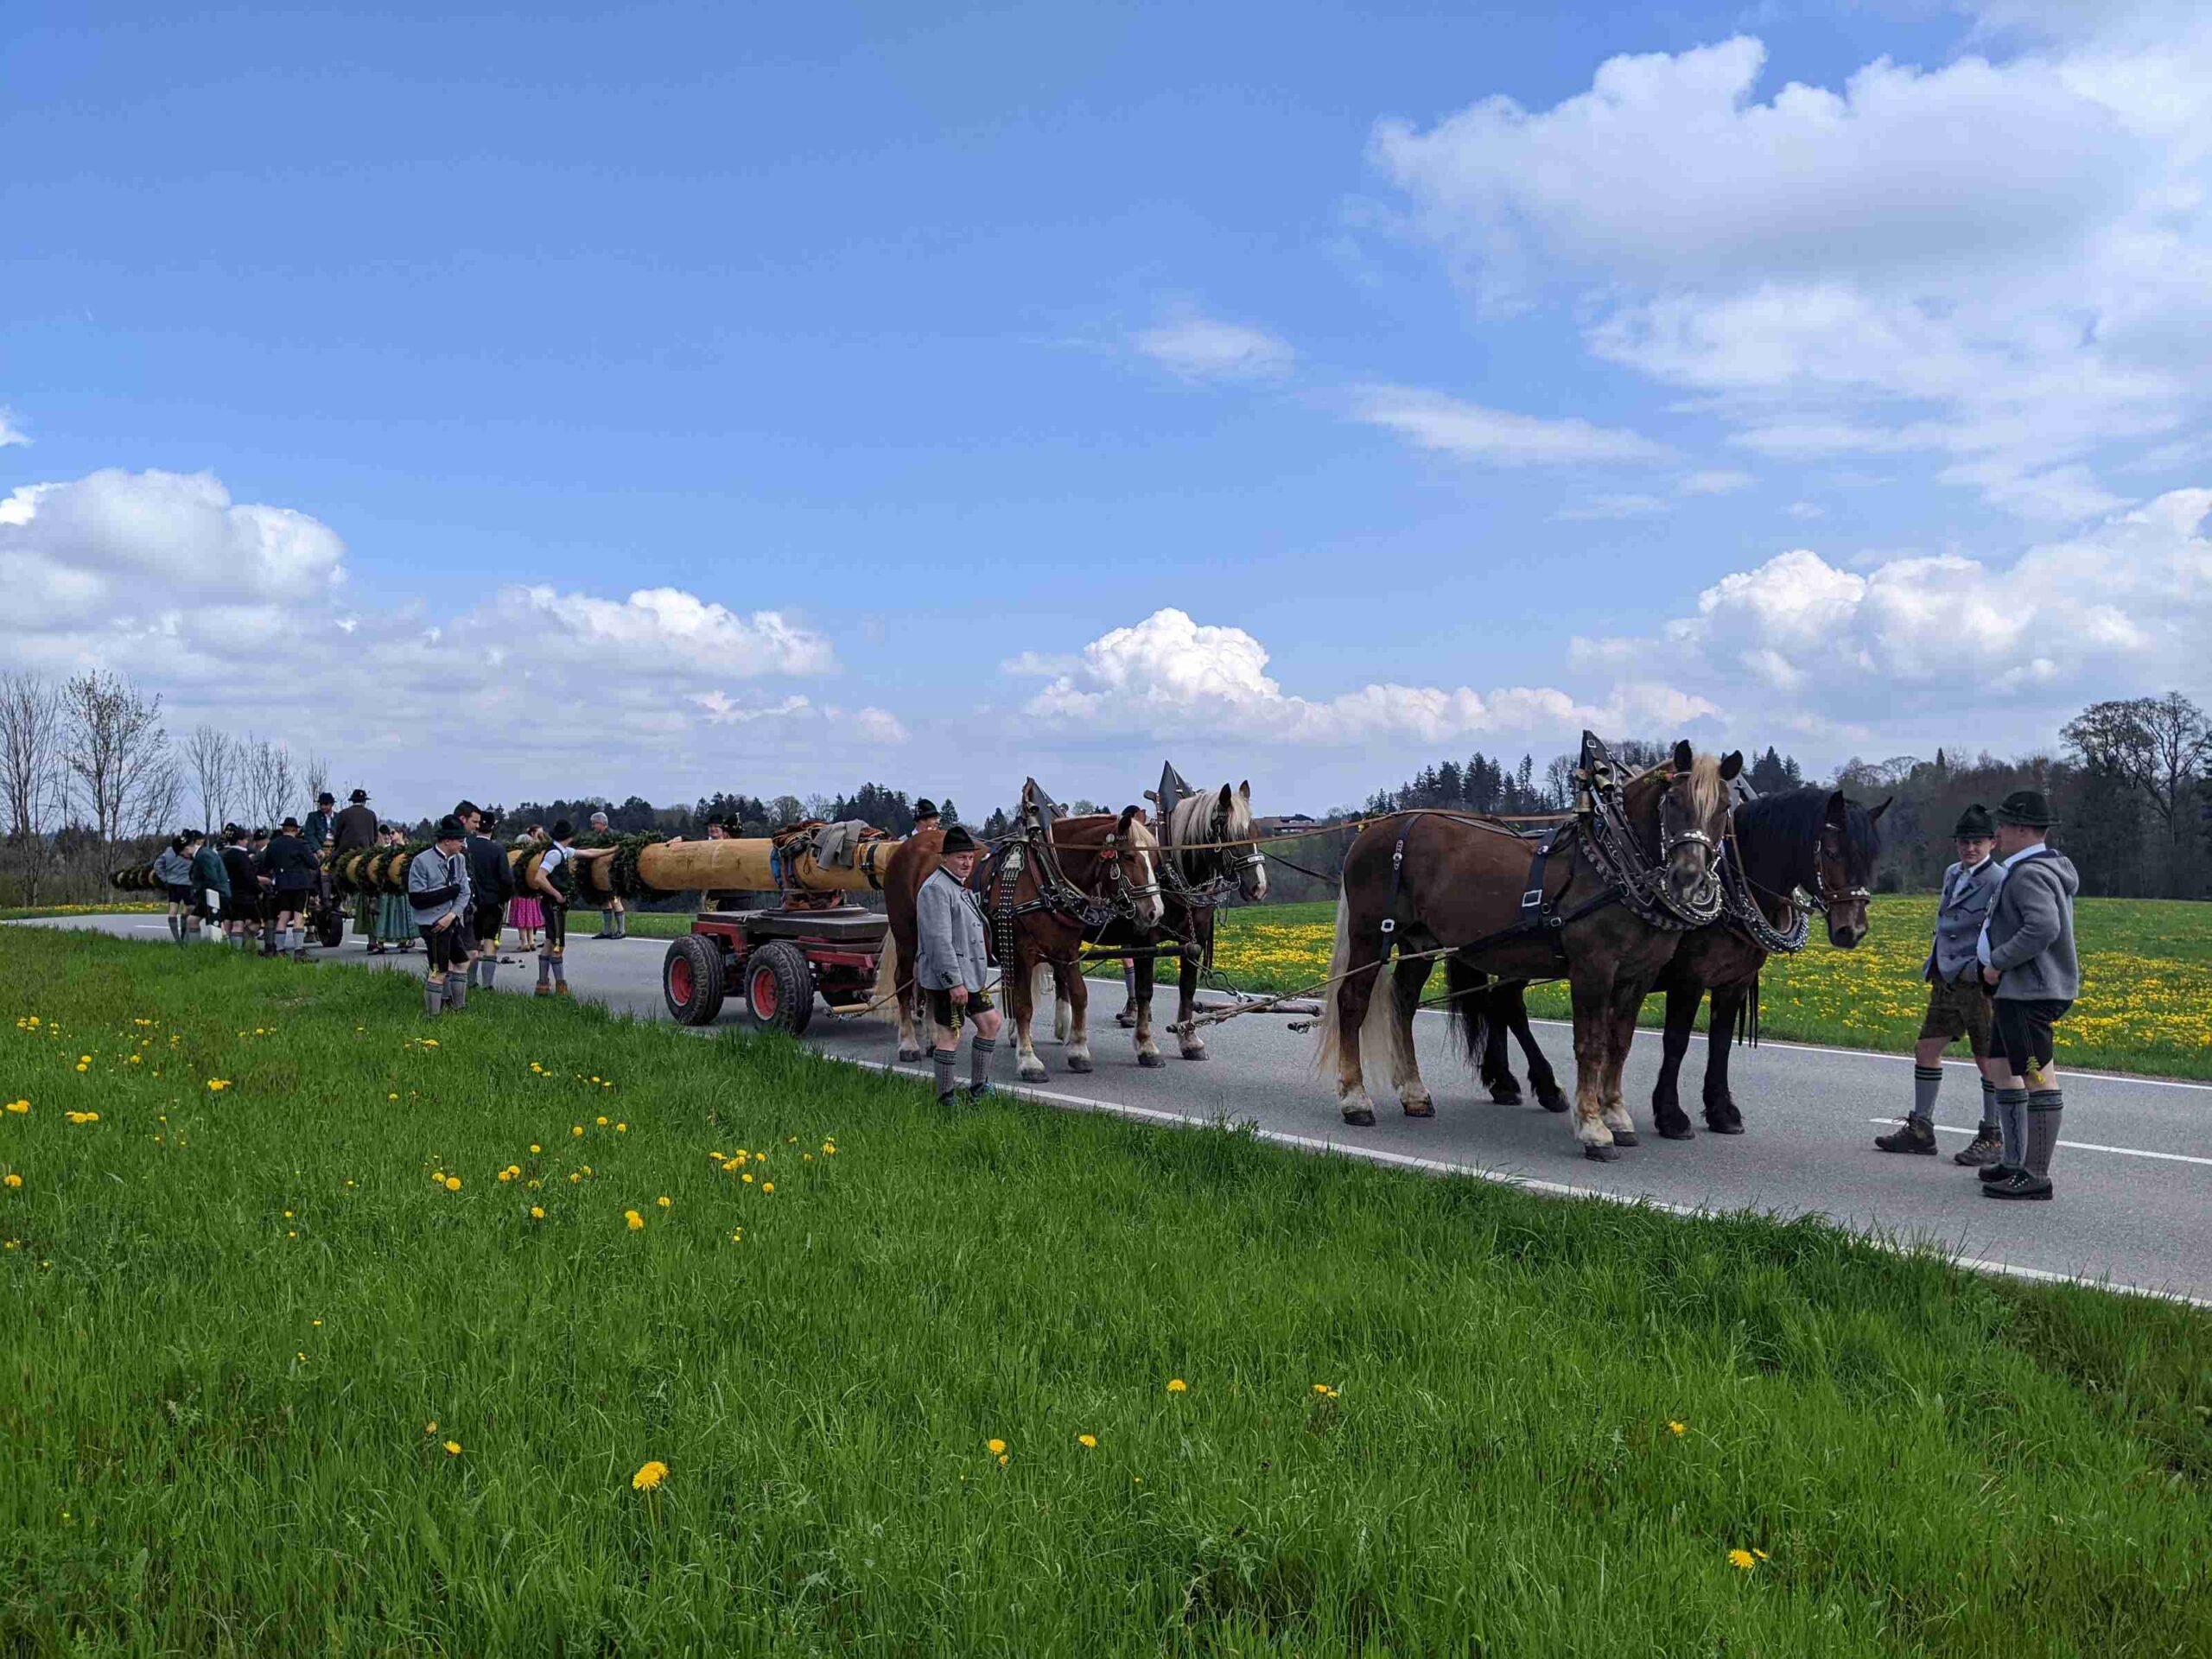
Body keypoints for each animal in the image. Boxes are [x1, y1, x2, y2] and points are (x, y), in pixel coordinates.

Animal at [874, 795, 1166, 1081]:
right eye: (1128, 856)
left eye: (1155, 860)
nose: (1155, 911)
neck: (1046, 875)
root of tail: (906, 847)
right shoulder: (1021, 952)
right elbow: (1024, 1005)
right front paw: (1028, 1061)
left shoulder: (1066, 951)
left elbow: (1079, 995)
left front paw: (1079, 1051)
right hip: (908, 936)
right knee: (903, 983)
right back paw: (909, 1043)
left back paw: (935, 1040)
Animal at [1315, 739, 1740, 1160]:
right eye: (1675, 801)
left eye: (1723, 807)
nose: (1689, 879)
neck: (1612, 864)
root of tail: (1374, 830)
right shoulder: (1593, 969)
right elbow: (1591, 1044)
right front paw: (1593, 1129)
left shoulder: (1638, 974)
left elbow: (1619, 1044)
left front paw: (1617, 1117)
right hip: (1370, 935)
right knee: (1352, 1002)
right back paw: (1355, 1100)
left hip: (1418, 943)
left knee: (1403, 1003)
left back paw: (1415, 1094)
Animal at [1476, 784, 1887, 1138]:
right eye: (1831, 852)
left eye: (1872, 857)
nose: (1852, 929)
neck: (1733, 884)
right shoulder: (1689, 979)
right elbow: (1677, 1041)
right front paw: (1671, 1115)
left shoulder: (1734, 982)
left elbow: (1720, 1043)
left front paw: (1722, 1111)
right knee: (1509, 1005)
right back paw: (1542, 1085)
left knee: (1499, 1003)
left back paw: (1505, 1082)